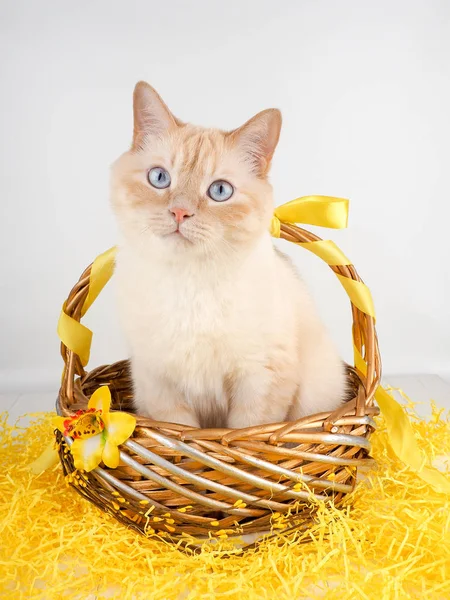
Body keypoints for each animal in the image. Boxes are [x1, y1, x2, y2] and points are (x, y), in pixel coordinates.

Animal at [111, 82, 344, 428]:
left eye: (220, 191)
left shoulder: (260, 379)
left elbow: (246, 433)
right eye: (159, 178)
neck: (189, 282)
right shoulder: (161, 388)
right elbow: (181, 434)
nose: (180, 212)